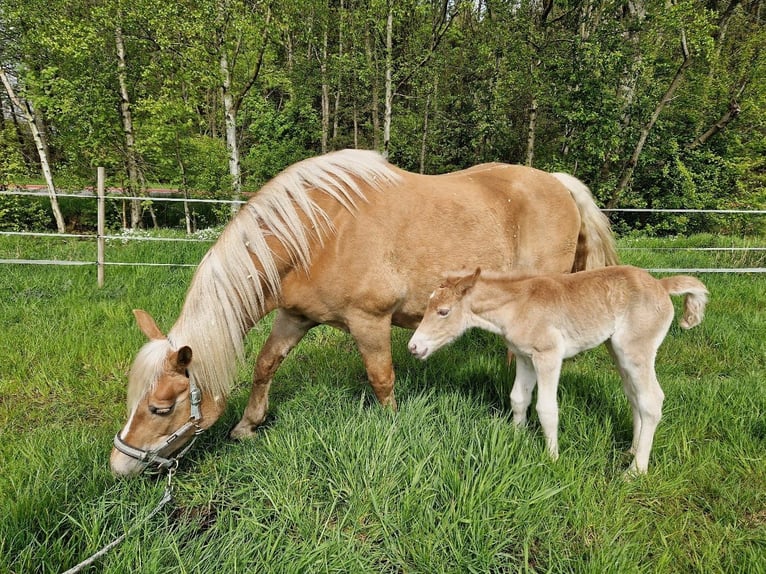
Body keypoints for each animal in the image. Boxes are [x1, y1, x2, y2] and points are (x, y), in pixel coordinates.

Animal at [111, 147, 620, 476]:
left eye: (160, 408)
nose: (119, 464)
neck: (315, 235)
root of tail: (558, 183)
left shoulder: (369, 321)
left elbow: (381, 378)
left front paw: (393, 428)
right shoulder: (295, 317)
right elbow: (266, 364)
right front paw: (247, 426)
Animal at [412, 268, 712, 474]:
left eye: (443, 311)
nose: (414, 347)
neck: (518, 305)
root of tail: (661, 285)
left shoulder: (548, 356)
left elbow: (546, 408)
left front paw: (552, 458)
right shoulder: (524, 356)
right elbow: (518, 398)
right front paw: (516, 439)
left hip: (637, 350)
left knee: (652, 400)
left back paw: (635, 471)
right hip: (619, 350)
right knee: (634, 396)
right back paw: (630, 451)